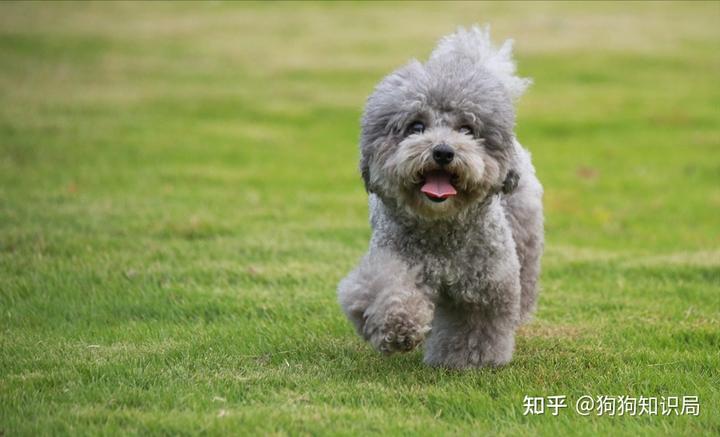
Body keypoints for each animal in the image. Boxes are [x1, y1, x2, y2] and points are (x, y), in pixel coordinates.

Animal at [338, 26, 544, 368]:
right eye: (416, 126)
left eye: (467, 129)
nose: (443, 152)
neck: (441, 230)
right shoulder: (390, 260)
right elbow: (384, 288)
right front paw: (399, 326)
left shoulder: (486, 283)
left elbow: (473, 324)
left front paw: (468, 360)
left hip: (524, 235)